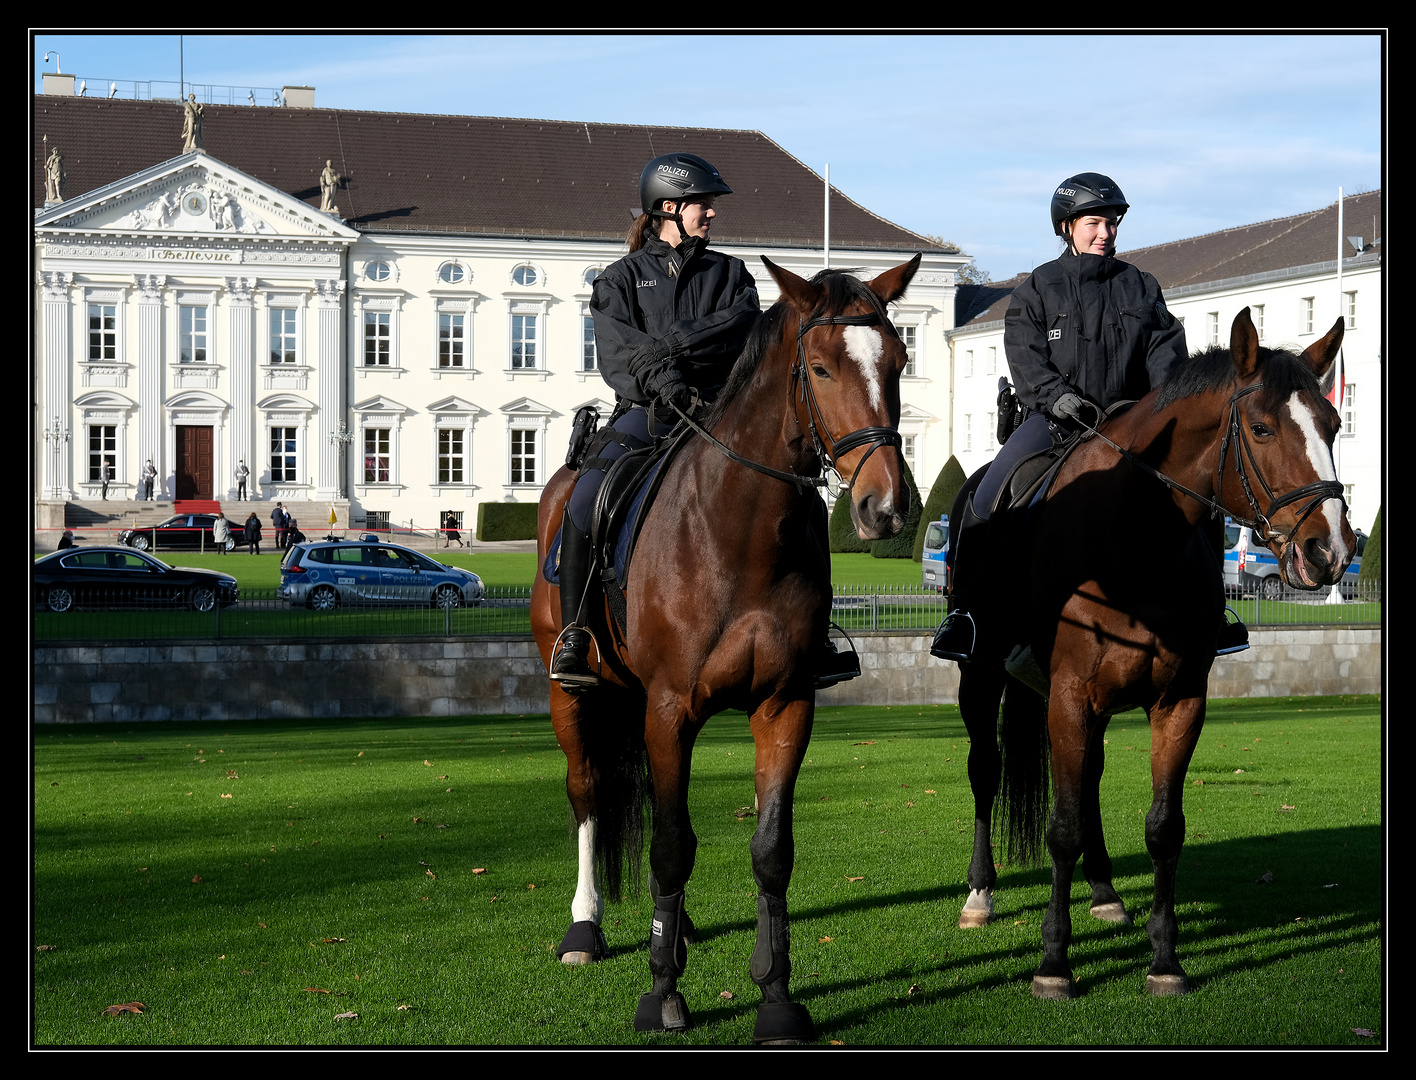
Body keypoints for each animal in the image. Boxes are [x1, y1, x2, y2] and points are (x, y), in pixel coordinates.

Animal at [532, 253, 917, 1041]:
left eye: (897, 360)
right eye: (822, 367)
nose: (887, 508)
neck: (738, 530)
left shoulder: (784, 705)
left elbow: (770, 852)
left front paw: (775, 996)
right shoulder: (670, 709)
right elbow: (671, 845)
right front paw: (662, 994)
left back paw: (672, 929)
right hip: (570, 693)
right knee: (587, 791)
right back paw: (587, 928)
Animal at [951, 308, 1348, 1002]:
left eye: (1332, 424)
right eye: (1262, 427)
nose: (1331, 551)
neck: (1135, 538)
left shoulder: (1179, 700)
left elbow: (1163, 829)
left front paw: (1165, 959)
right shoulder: (1068, 695)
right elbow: (1060, 828)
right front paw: (1054, 962)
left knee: (1089, 781)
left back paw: (1105, 889)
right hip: (981, 676)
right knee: (986, 769)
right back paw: (981, 893)